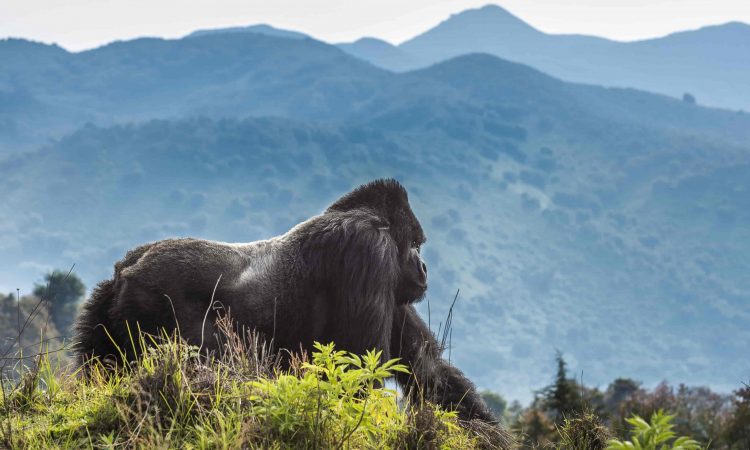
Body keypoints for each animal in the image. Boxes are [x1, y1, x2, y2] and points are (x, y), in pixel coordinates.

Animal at [75, 178, 500, 422]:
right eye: (415, 245)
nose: (424, 267)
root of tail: (125, 268)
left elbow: (428, 370)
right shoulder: (368, 251)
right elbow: (359, 369)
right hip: (151, 299)